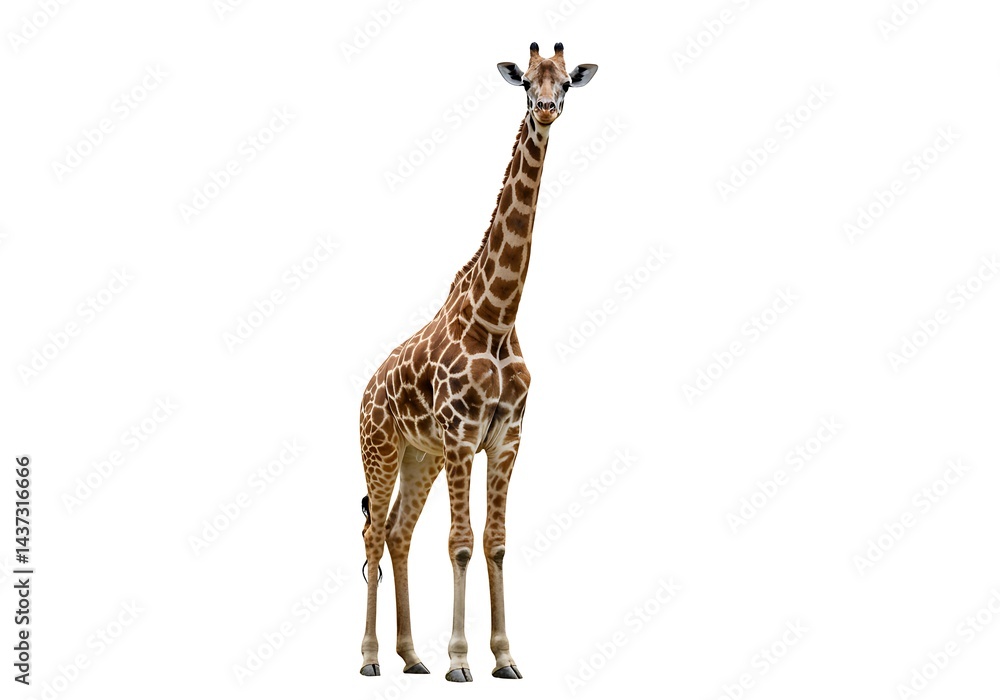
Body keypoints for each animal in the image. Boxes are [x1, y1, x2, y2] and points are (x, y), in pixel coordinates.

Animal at [358, 42, 597, 682]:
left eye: (567, 83)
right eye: (527, 84)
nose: (546, 109)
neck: (497, 318)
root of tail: (364, 391)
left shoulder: (506, 436)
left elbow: (496, 542)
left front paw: (506, 657)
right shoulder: (463, 436)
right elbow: (461, 542)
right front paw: (461, 660)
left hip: (420, 456)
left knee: (398, 532)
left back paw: (411, 656)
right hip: (381, 449)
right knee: (373, 534)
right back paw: (370, 657)